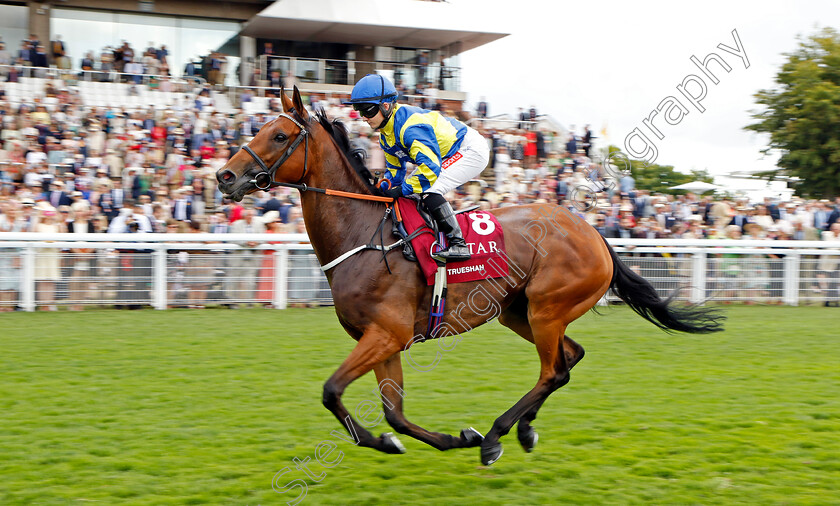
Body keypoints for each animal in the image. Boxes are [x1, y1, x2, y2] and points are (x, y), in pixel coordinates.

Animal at [215, 86, 720, 462]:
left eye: (280, 136)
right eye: (260, 128)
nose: (224, 177)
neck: (365, 235)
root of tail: (594, 232)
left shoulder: (387, 333)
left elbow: (331, 391)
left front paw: (449, 439)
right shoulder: (383, 338)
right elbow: (393, 413)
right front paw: (427, 439)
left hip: (547, 309)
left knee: (553, 371)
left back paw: (497, 436)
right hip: (518, 311)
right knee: (569, 359)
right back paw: (524, 430)